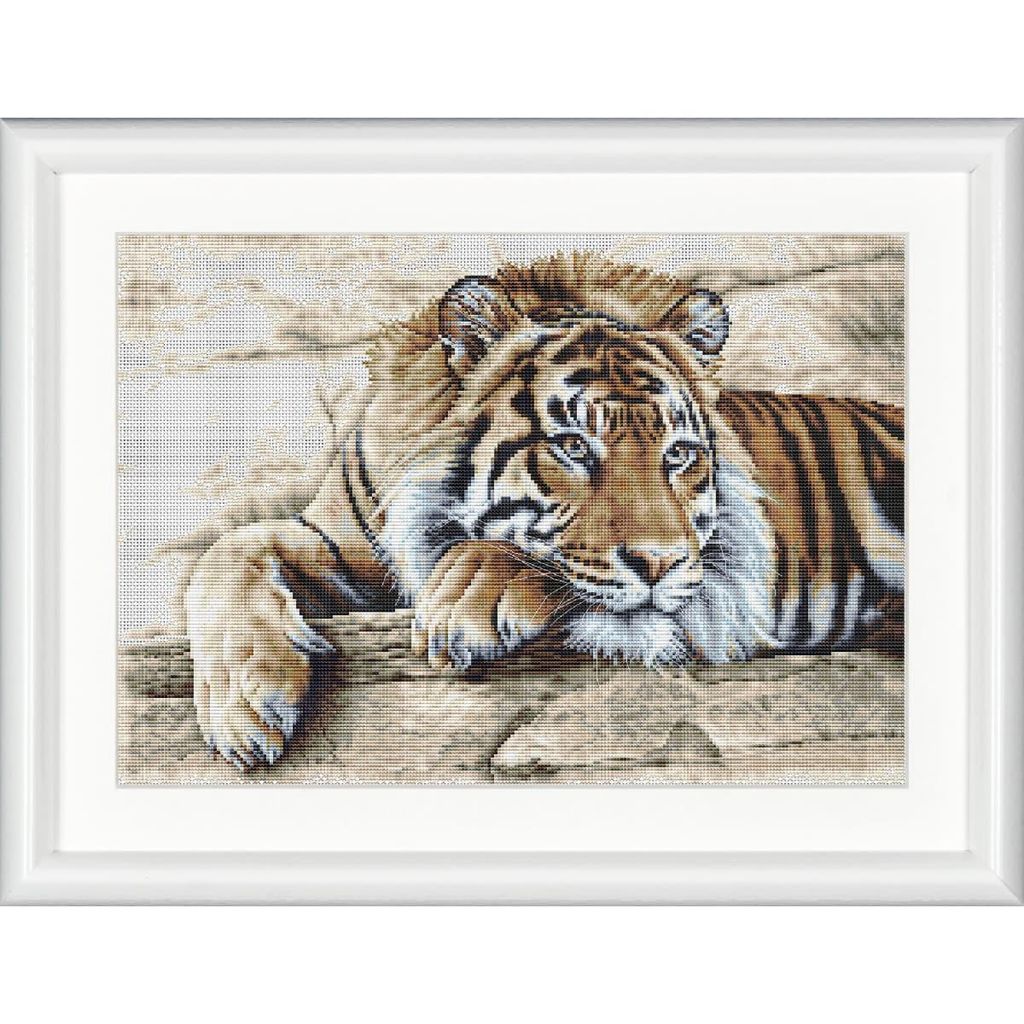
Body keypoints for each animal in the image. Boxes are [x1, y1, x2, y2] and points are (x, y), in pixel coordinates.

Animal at [185, 253, 904, 769]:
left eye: (678, 454)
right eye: (573, 446)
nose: (660, 563)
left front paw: (464, 600)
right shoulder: (339, 540)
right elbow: (223, 554)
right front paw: (246, 706)